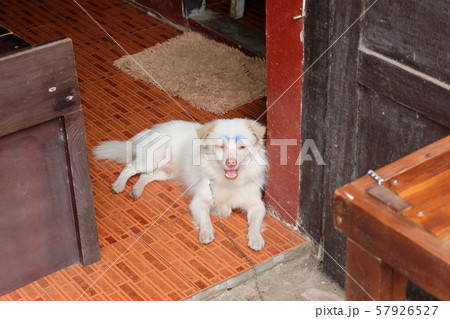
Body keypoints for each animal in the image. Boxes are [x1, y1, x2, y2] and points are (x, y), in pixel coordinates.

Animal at [92, 119, 268, 251]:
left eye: (242, 147)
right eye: (221, 146)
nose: (231, 163)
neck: (229, 181)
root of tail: (154, 129)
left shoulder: (257, 205)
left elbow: (255, 223)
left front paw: (256, 238)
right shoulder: (198, 202)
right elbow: (205, 219)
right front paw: (206, 233)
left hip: (165, 171)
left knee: (144, 176)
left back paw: (136, 190)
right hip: (152, 160)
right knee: (130, 168)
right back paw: (119, 185)